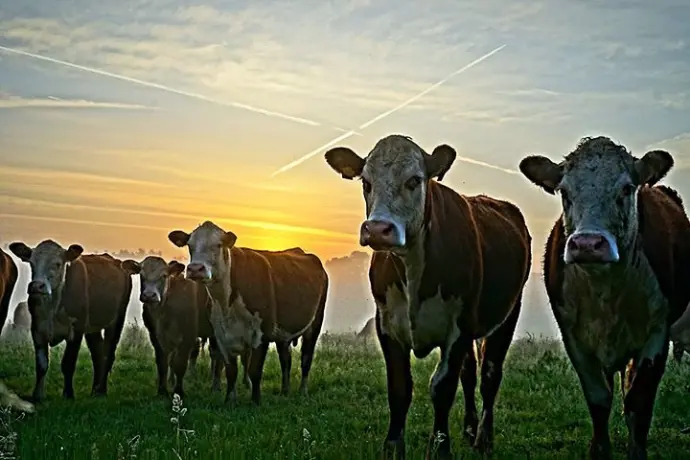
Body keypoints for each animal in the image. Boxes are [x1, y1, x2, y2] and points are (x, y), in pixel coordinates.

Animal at [8, 240, 132, 402]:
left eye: (58, 264)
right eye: (32, 263)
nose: (36, 286)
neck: (53, 305)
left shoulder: (76, 329)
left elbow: (68, 363)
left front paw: (68, 394)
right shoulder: (37, 329)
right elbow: (41, 364)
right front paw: (37, 396)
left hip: (117, 320)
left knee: (108, 354)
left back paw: (101, 390)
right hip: (92, 327)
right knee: (98, 353)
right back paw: (95, 390)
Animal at [120, 256, 250, 398]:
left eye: (164, 276)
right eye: (142, 275)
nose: (149, 295)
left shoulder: (188, 336)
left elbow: (180, 363)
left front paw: (178, 391)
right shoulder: (155, 336)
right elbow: (162, 363)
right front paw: (162, 391)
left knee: (239, 356)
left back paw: (236, 384)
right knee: (217, 354)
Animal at [167, 222, 329, 405]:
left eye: (218, 245)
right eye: (190, 245)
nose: (195, 269)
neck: (227, 303)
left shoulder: (262, 333)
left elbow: (254, 370)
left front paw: (255, 401)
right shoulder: (221, 334)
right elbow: (230, 370)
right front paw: (229, 400)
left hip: (314, 325)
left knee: (306, 358)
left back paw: (302, 391)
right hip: (283, 334)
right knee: (285, 359)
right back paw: (285, 390)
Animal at [324, 134, 531, 459]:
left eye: (414, 180)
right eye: (366, 182)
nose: (378, 229)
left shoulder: (459, 328)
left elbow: (442, 388)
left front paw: (440, 447)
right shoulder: (387, 325)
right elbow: (399, 388)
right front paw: (392, 446)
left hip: (508, 314)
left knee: (489, 376)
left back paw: (483, 438)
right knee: (469, 375)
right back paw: (470, 428)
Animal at [518, 136, 690, 459]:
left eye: (626, 189)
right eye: (565, 191)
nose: (588, 244)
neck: (606, 289)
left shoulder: (657, 334)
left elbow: (638, 399)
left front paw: (637, 450)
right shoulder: (574, 337)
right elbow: (598, 397)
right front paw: (599, 450)